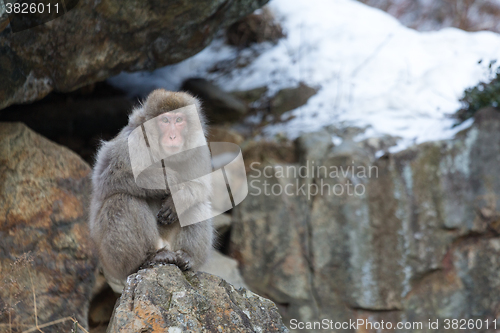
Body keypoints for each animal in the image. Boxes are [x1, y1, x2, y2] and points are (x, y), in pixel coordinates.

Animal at [89, 88, 213, 290]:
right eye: (165, 120)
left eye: (179, 120)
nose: (173, 136)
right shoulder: (131, 141)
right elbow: (107, 177)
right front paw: (171, 180)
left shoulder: (199, 147)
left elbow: (201, 186)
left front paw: (177, 199)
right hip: (112, 260)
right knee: (122, 200)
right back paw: (150, 256)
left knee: (197, 203)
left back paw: (186, 256)